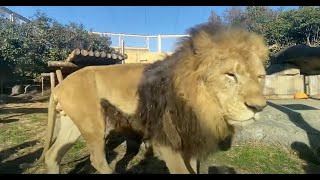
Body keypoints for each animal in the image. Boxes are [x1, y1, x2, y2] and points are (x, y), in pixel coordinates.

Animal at [21, 22, 268, 173]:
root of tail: (59, 86)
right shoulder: (168, 143)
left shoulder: (191, 142)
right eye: (230, 75)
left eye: (260, 77)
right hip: (93, 123)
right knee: (97, 159)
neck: (203, 106)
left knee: (52, 154)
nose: (259, 107)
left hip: (72, 124)